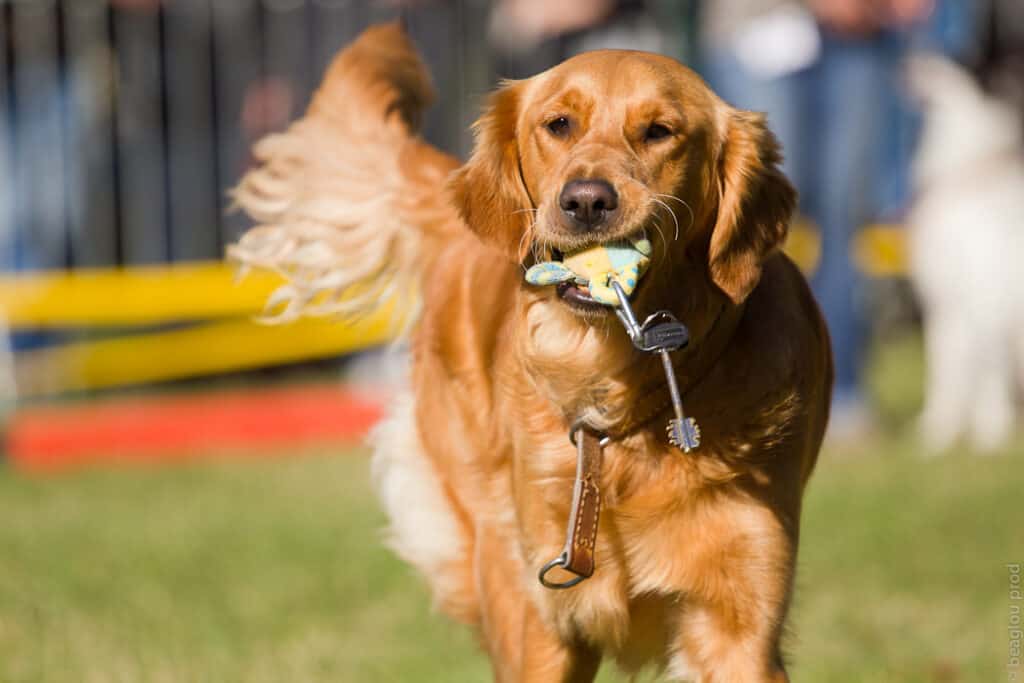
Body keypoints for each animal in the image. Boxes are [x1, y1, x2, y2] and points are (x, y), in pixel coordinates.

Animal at [230, 21, 831, 683]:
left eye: (659, 131)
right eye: (558, 124)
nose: (587, 200)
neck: (618, 400)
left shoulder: (739, 616)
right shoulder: (544, 614)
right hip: (493, 552)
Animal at [905, 53, 1024, 454]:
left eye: (960, 57)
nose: (911, 56)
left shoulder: (980, 302)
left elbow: (971, 375)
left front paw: (987, 434)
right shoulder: (953, 305)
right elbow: (950, 373)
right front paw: (940, 435)